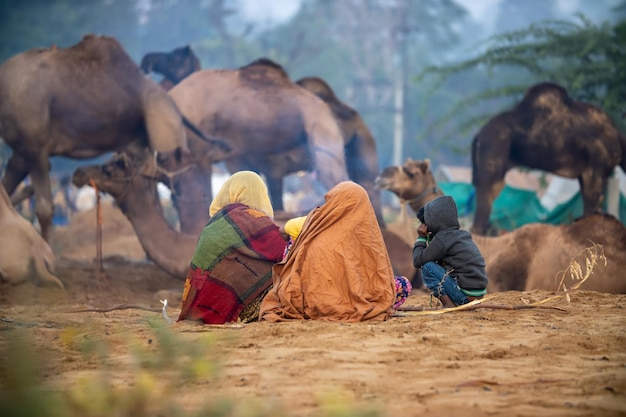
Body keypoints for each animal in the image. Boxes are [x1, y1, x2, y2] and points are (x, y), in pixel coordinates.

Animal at [0, 35, 205, 240]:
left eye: (177, 56)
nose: (148, 60)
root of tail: (173, 105)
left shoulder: (35, 146)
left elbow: (43, 208)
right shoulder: (22, 150)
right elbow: (7, 190)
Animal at [472, 83, 624, 236]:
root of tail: (479, 135)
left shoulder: (586, 175)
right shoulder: (594, 171)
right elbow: (592, 206)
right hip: (492, 173)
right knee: (480, 218)